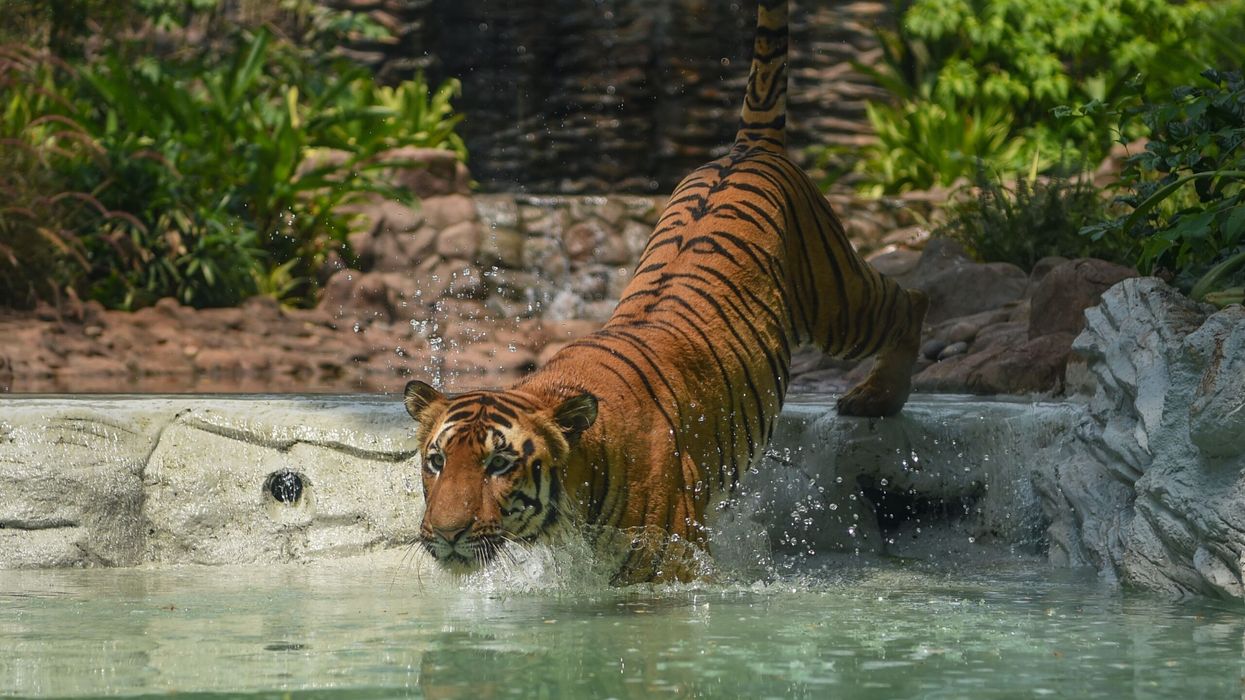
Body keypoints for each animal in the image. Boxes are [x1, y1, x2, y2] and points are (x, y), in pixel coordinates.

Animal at [401, 0, 929, 584]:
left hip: (836, 305)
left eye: (498, 463)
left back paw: (876, 397)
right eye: (436, 461)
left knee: (911, 301)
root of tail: (748, 148)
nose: (446, 535)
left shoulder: (673, 565)